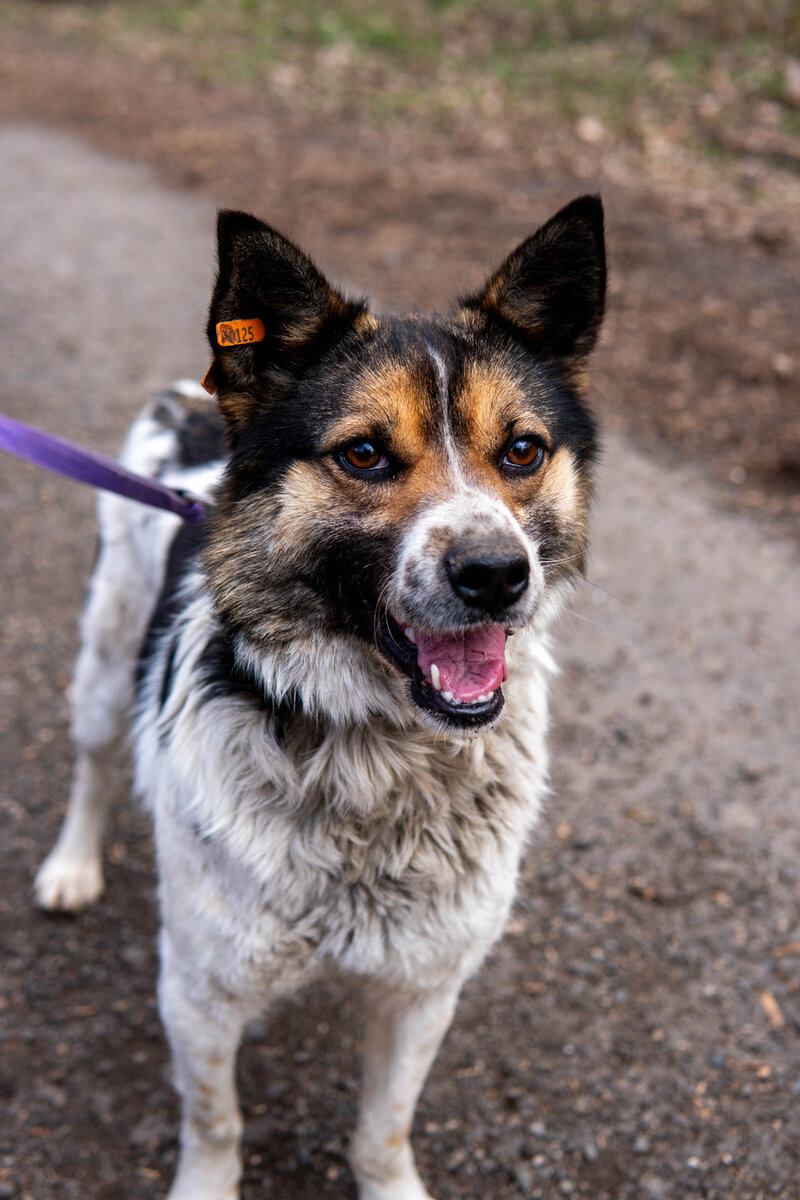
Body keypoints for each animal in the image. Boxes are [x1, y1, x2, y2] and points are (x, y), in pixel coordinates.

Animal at [34, 199, 604, 1200]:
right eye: (365, 454)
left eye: (523, 451)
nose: (496, 574)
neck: (375, 750)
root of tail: (191, 408)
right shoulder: (199, 990)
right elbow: (215, 1122)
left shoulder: (425, 989)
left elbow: (385, 1128)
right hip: (103, 661)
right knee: (97, 762)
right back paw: (72, 864)